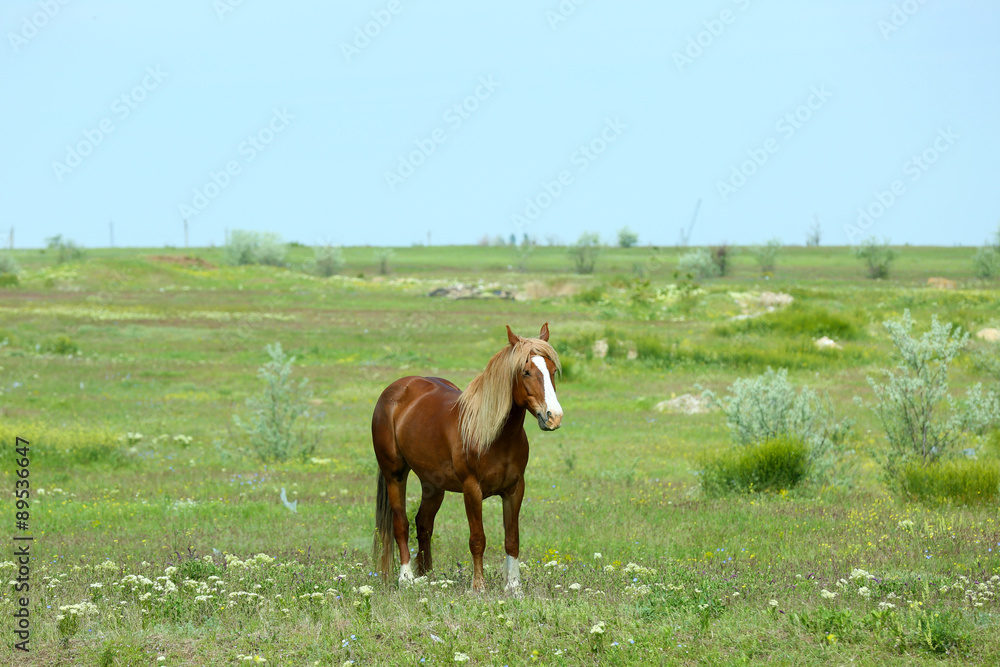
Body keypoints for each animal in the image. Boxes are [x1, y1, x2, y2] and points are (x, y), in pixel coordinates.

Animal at [371, 323, 563, 592]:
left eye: (553, 370)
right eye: (526, 372)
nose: (554, 417)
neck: (493, 435)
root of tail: (397, 389)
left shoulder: (515, 489)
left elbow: (512, 538)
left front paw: (514, 587)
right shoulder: (472, 490)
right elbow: (477, 539)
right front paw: (478, 586)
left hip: (433, 485)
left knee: (423, 524)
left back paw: (429, 576)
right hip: (395, 474)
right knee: (402, 524)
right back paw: (406, 578)